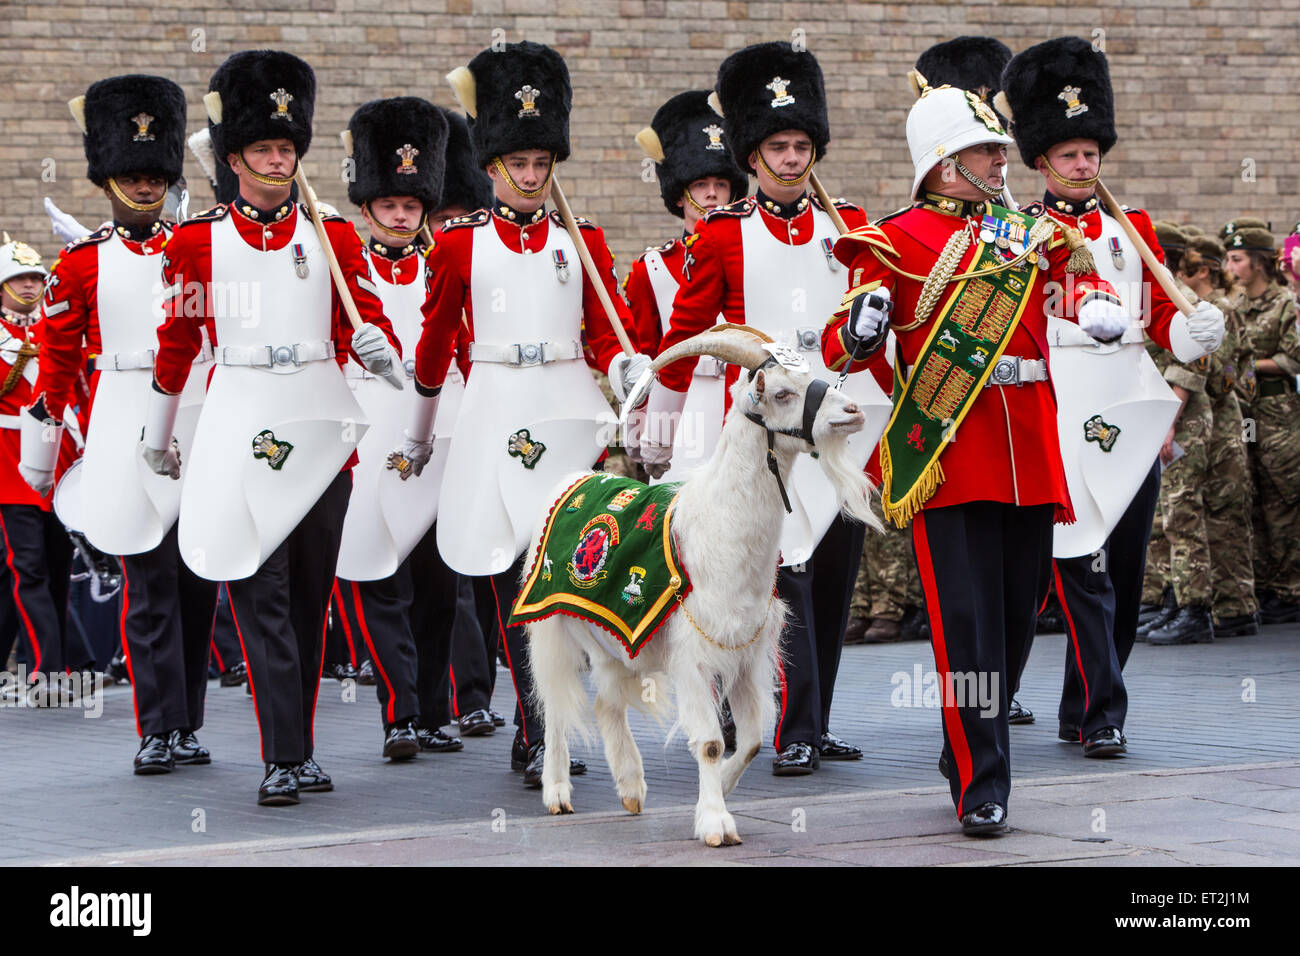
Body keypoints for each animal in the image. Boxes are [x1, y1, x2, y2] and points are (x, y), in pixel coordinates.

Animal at [519, 324, 878, 847]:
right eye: (782, 393)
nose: (852, 412)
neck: (716, 525)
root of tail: (573, 478)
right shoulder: (693, 654)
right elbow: (709, 742)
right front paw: (715, 823)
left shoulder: (746, 652)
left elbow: (751, 741)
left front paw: (721, 789)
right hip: (551, 625)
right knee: (555, 707)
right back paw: (557, 792)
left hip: (612, 641)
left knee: (606, 702)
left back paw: (631, 787)